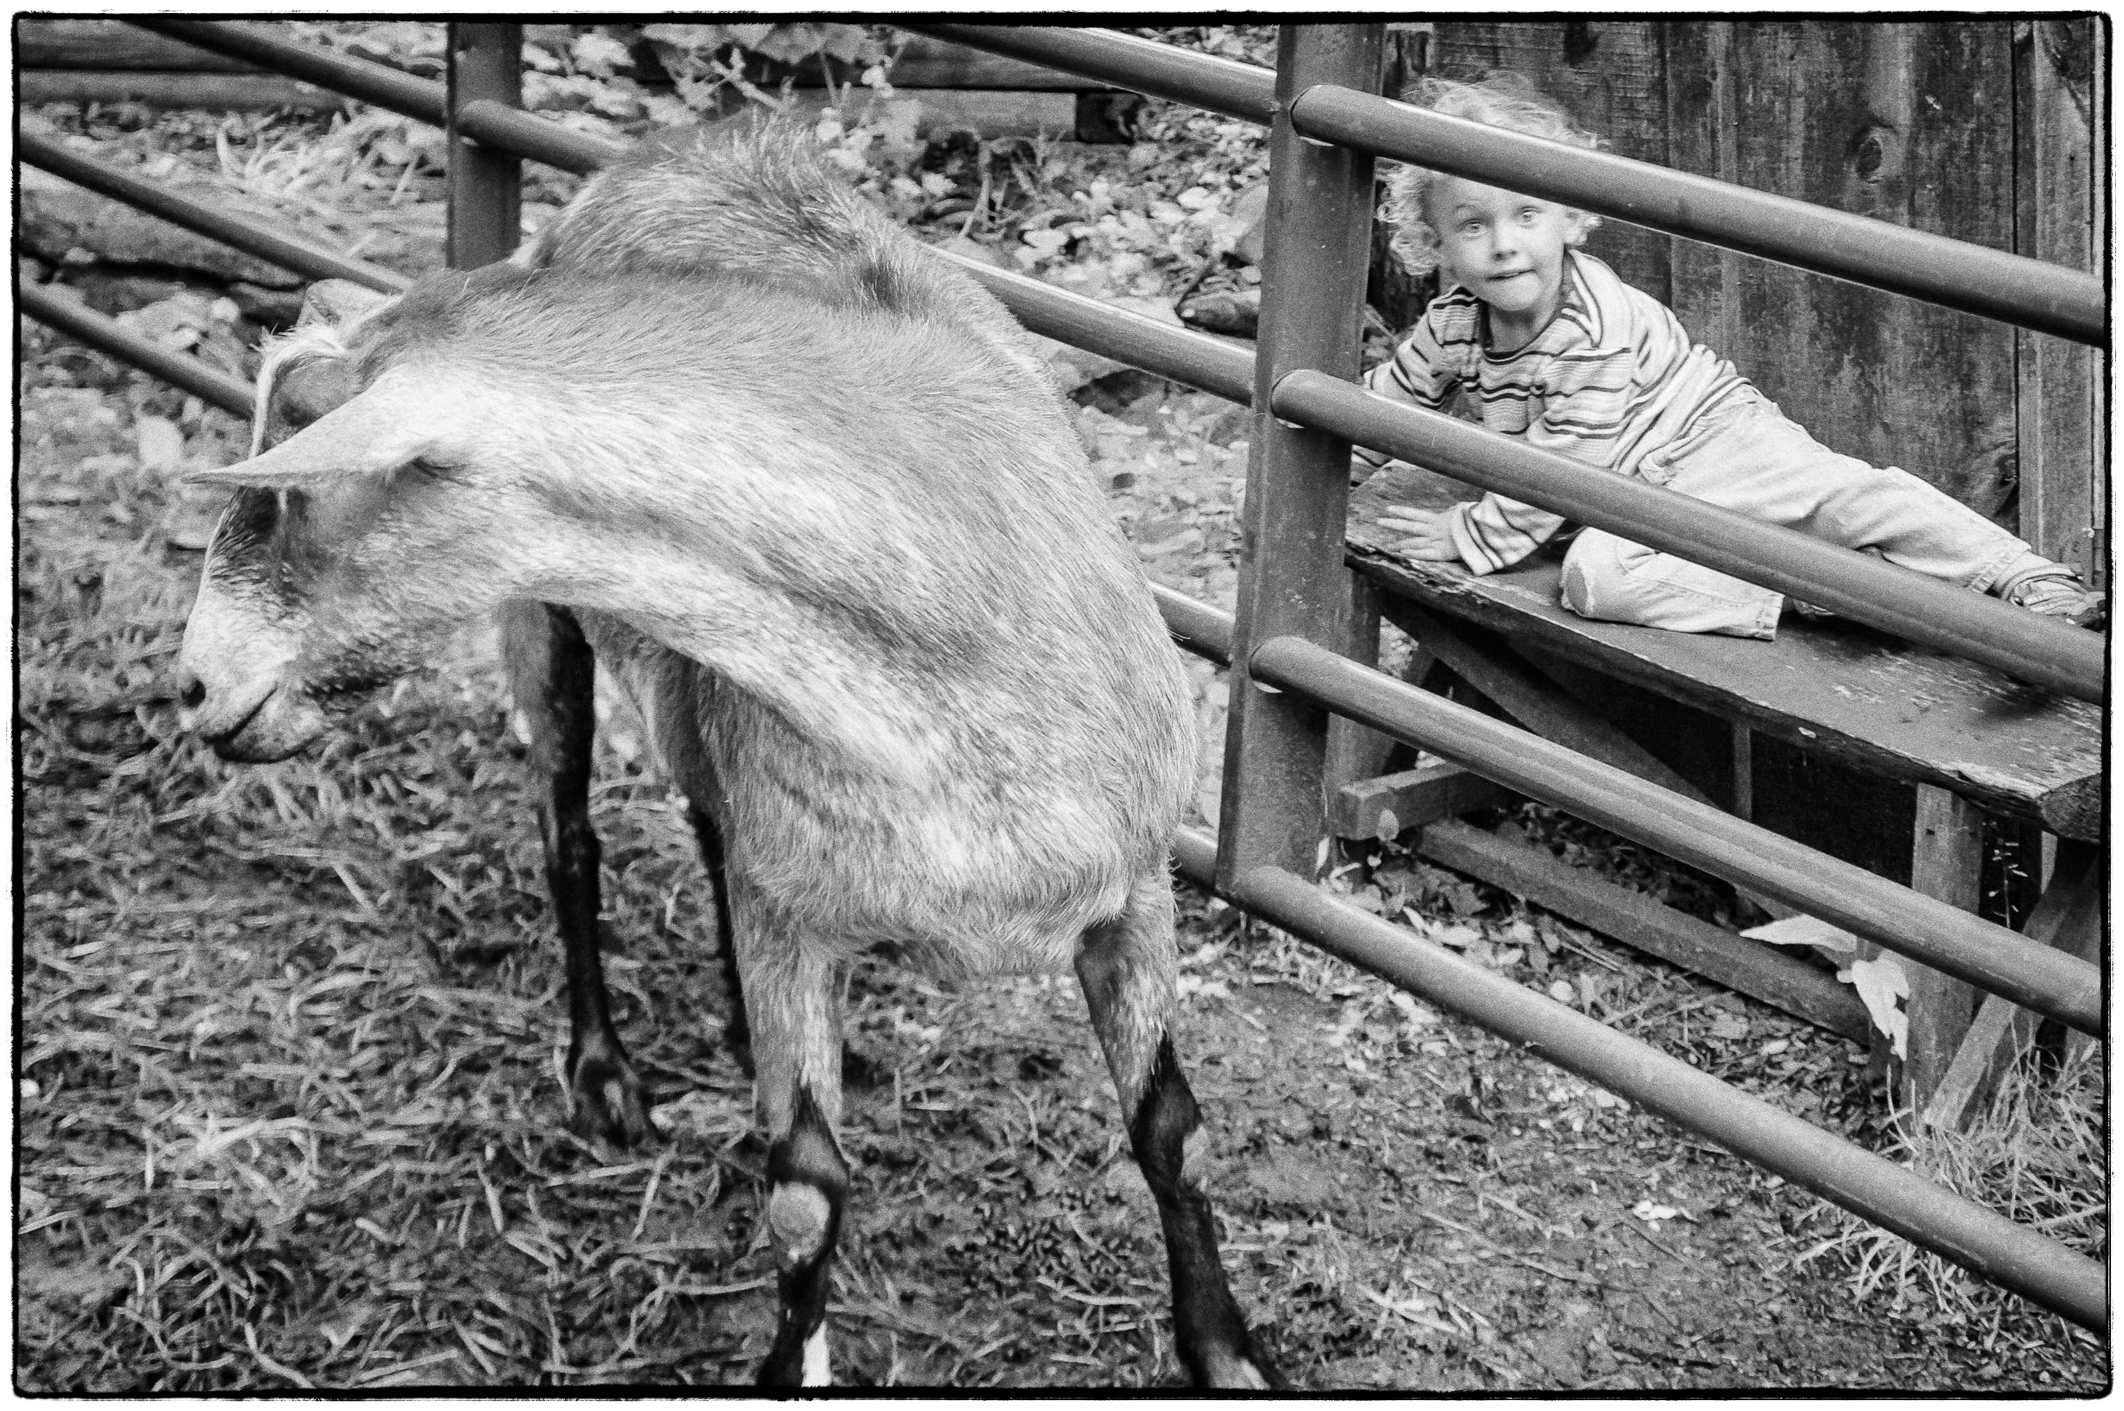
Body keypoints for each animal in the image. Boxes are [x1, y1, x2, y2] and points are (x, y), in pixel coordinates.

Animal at [172, 123, 1281, 1389]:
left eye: (299, 480)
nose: (195, 684)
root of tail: (671, 154)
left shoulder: (1136, 889)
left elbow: (1173, 1134)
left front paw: (1228, 1354)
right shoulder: (791, 913)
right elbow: (806, 1189)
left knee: (701, 816)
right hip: (553, 625)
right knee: (569, 829)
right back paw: (604, 1074)